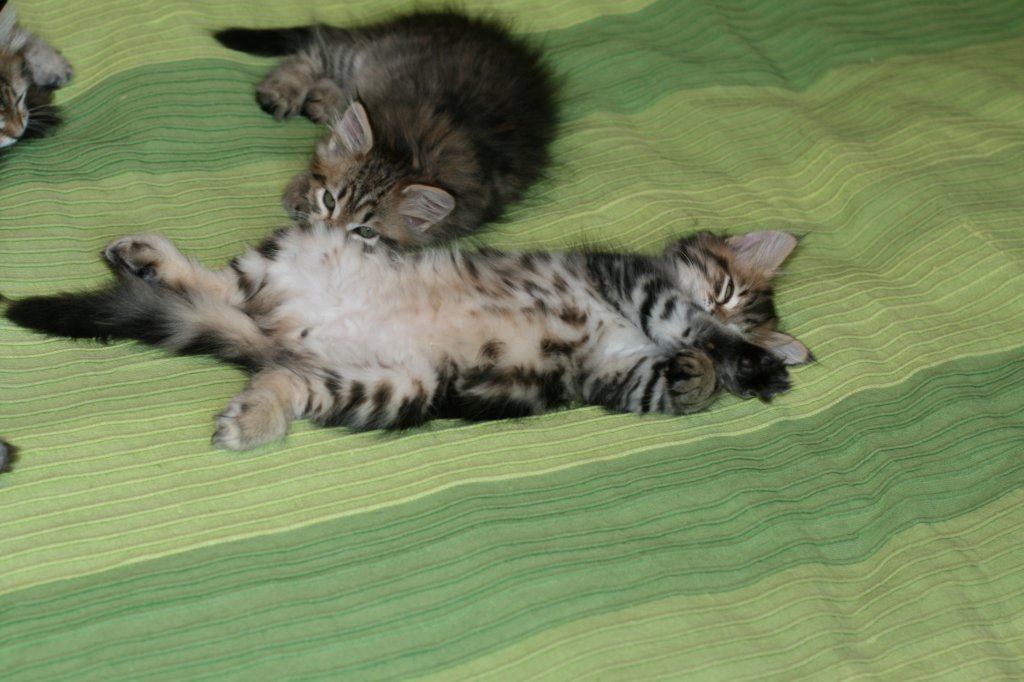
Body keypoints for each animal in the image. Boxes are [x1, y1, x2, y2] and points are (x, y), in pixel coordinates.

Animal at [5, 225, 811, 451]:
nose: (727, 311)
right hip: (307, 251)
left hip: (397, 387)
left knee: (280, 376)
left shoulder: (617, 375)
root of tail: (289, 334)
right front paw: (746, 365)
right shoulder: (640, 287)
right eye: (729, 292)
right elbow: (692, 328)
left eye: (746, 303)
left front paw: (705, 375)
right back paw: (149, 257)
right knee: (220, 284)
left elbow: (670, 381)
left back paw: (253, 417)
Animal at [214, 10, 558, 248]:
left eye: (365, 231)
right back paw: (284, 90)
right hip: (364, 57)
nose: (327, 233)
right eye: (330, 201)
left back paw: (322, 100)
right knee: (316, 49)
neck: (408, 148)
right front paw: (300, 190)